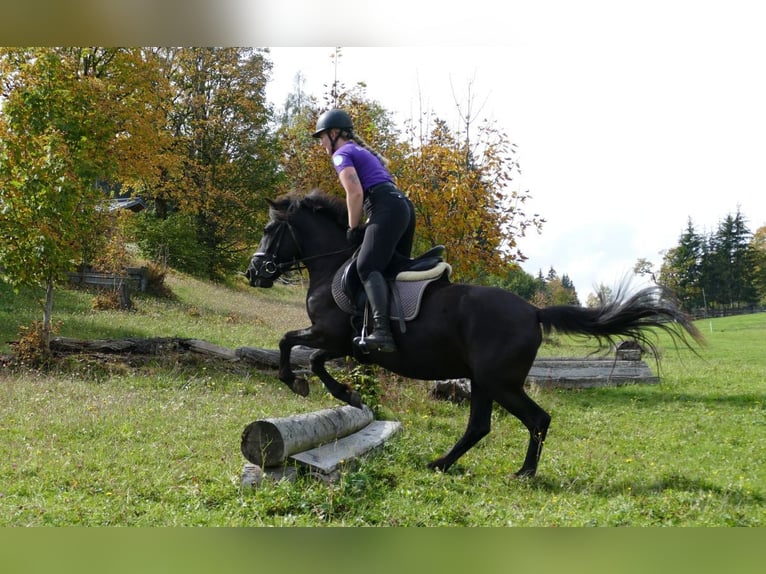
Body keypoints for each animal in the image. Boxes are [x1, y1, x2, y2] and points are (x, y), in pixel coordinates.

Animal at [245, 190, 703, 477]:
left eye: (269, 231)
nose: (253, 272)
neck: (333, 266)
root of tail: (534, 311)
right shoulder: (338, 343)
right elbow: (307, 353)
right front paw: (341, 392)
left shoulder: (331, 336)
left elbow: (295, 346)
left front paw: (312, 386)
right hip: (483, 380)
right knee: (480, 426)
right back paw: (443, 464)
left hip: (499, 381)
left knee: (536, 418)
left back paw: (524, 472)